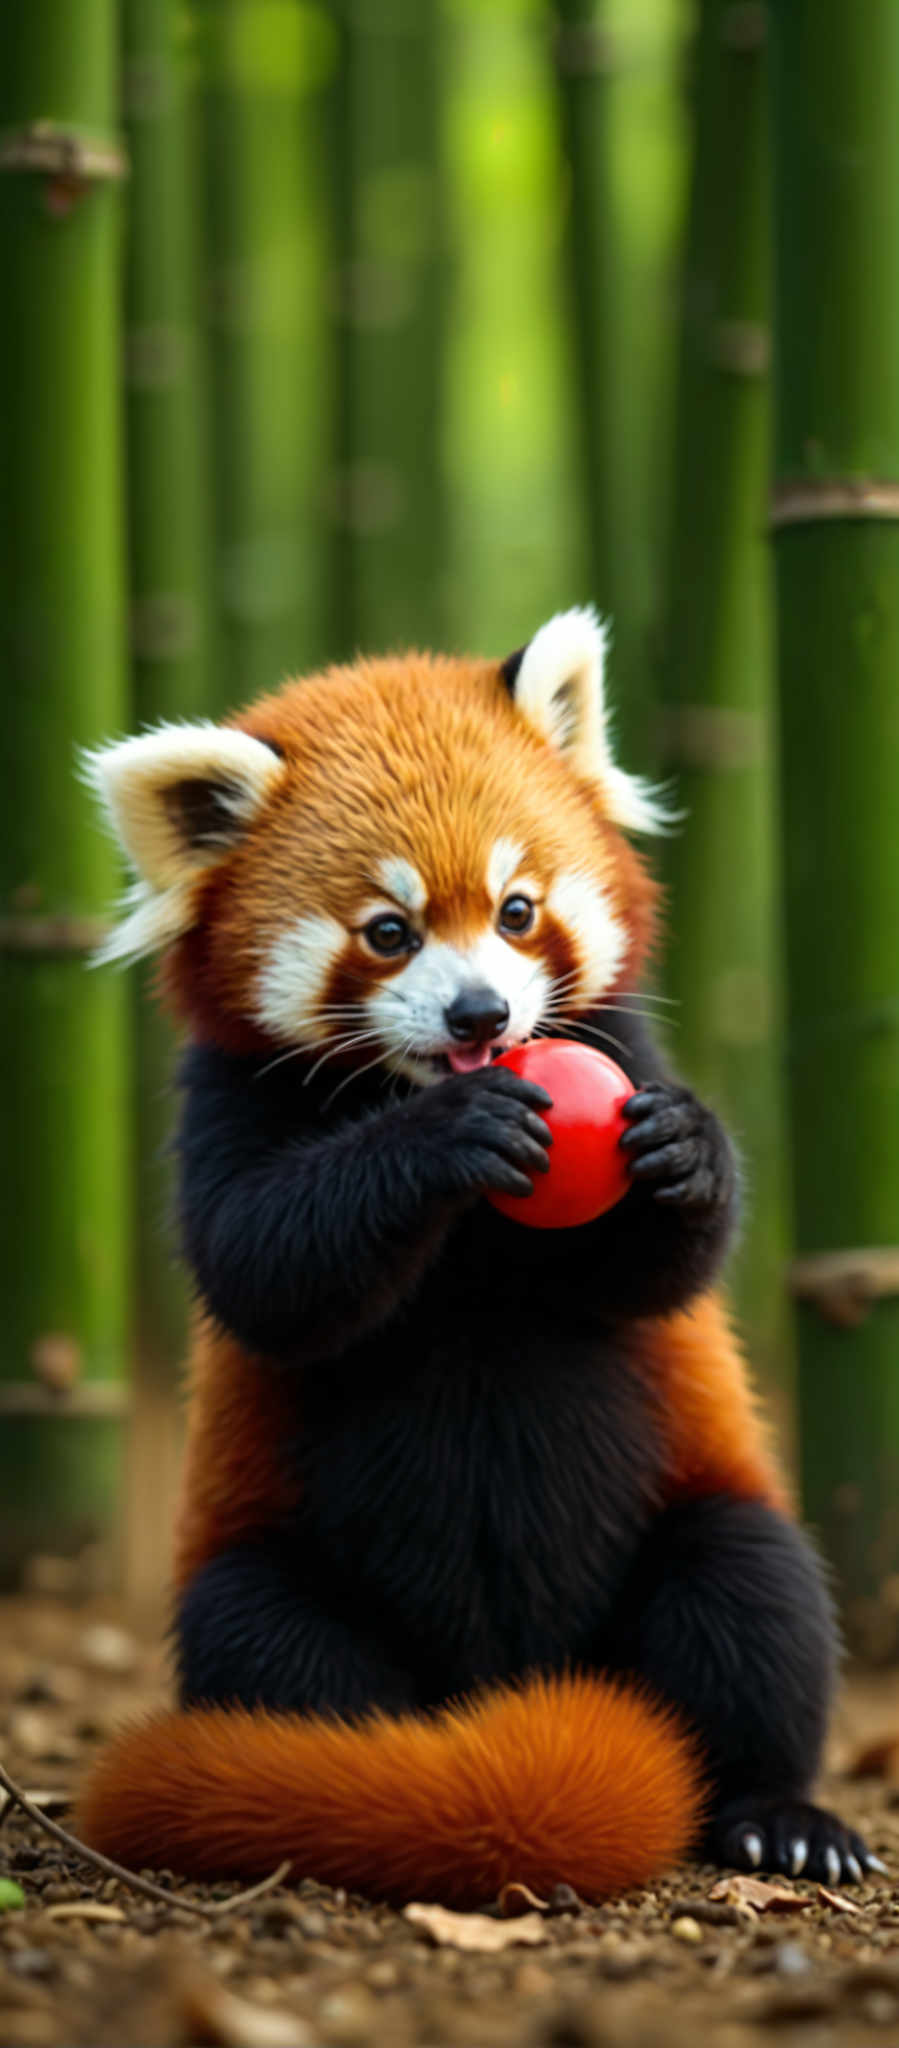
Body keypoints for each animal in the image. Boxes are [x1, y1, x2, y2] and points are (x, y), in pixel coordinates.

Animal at [77, 606, 880, 1900]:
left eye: (515, 909)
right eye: (388, 931)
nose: (480, 1019)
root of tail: (506, 1676)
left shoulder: (621, 1041)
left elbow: (656, 1278)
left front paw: (685, 1147)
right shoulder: (224, 1099)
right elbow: (264, 1272)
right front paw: (444, 1136)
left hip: (699, 1503)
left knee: (753, 1592)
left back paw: (778, 1813)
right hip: (275, 1561)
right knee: (269, 1639)